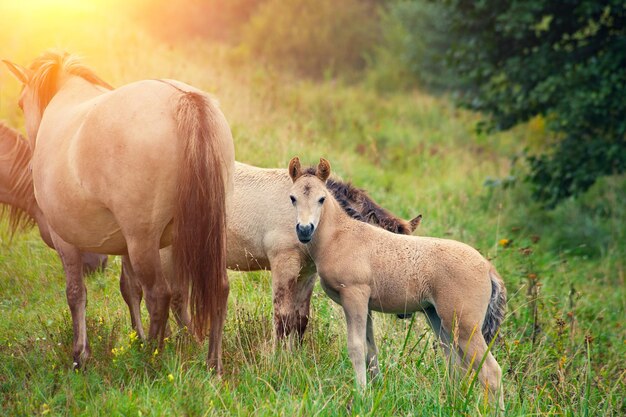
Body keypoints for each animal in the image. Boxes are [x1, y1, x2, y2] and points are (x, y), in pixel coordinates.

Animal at [288, 157, 508, 410]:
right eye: (292, 198)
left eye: (321, 198)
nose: (304, 230)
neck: (340, 236)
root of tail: (488, 267)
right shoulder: (365, 305)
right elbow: (370, 349)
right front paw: (375, 390)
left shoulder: (354, 296)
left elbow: (356, 347)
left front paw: (361, 396)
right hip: (437, 317)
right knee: (455, 363)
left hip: (465, 325)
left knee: (490, 371)